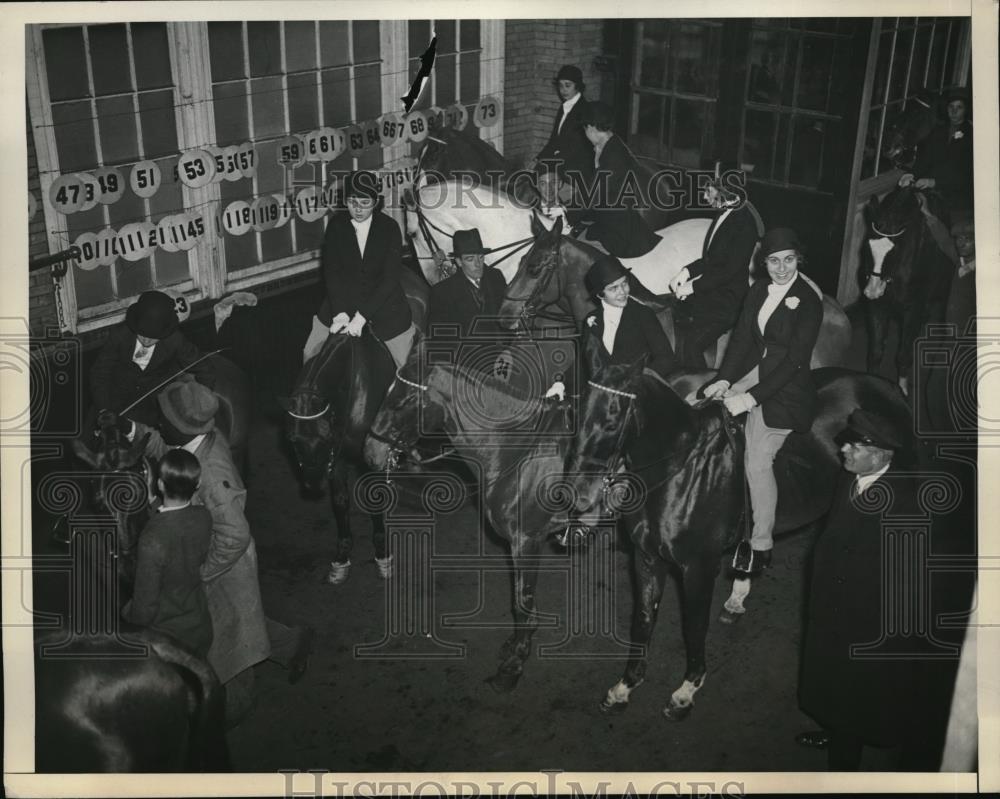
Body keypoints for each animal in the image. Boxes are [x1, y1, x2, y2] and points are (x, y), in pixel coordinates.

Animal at [364, 332, 576, 692]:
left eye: (403, 402)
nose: (370, 451)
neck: (519, 449)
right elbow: (520, 603)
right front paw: (515, 645)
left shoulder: (527, 541)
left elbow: (522, 602)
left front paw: (514, 665)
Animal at [564, 350, 916, 720]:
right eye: (576, 412)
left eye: (612, 422)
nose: (579, 494)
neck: (680, 468)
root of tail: (888, 387)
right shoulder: (646, 558)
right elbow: (643, 620)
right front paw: (624, 687)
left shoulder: (698, 567)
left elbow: (694, 625)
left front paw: (686, 691)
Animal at [860, 183, 952, 396]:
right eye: (868, 244)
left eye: (894, 249)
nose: (873, 291)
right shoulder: (877, 307)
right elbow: (875, 353)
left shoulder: (912, 309)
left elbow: (903, 355)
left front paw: (902, 389)